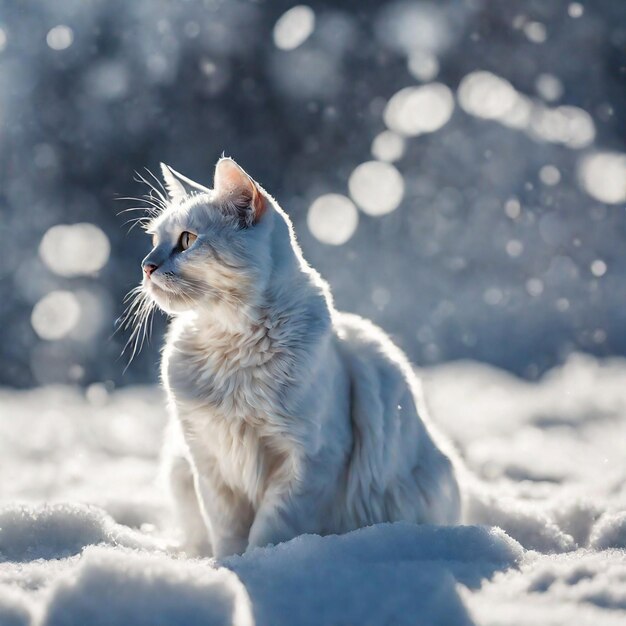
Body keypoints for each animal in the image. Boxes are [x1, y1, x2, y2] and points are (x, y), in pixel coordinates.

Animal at [135, 157, 458, 556]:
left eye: (187, 241)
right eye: (154, 240)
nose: (146, 266)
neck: (233, 346)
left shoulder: (311, 460)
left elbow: (271, 528)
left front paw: (260, 563)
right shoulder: (209, 462)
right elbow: (227, 532)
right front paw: (226, 565)